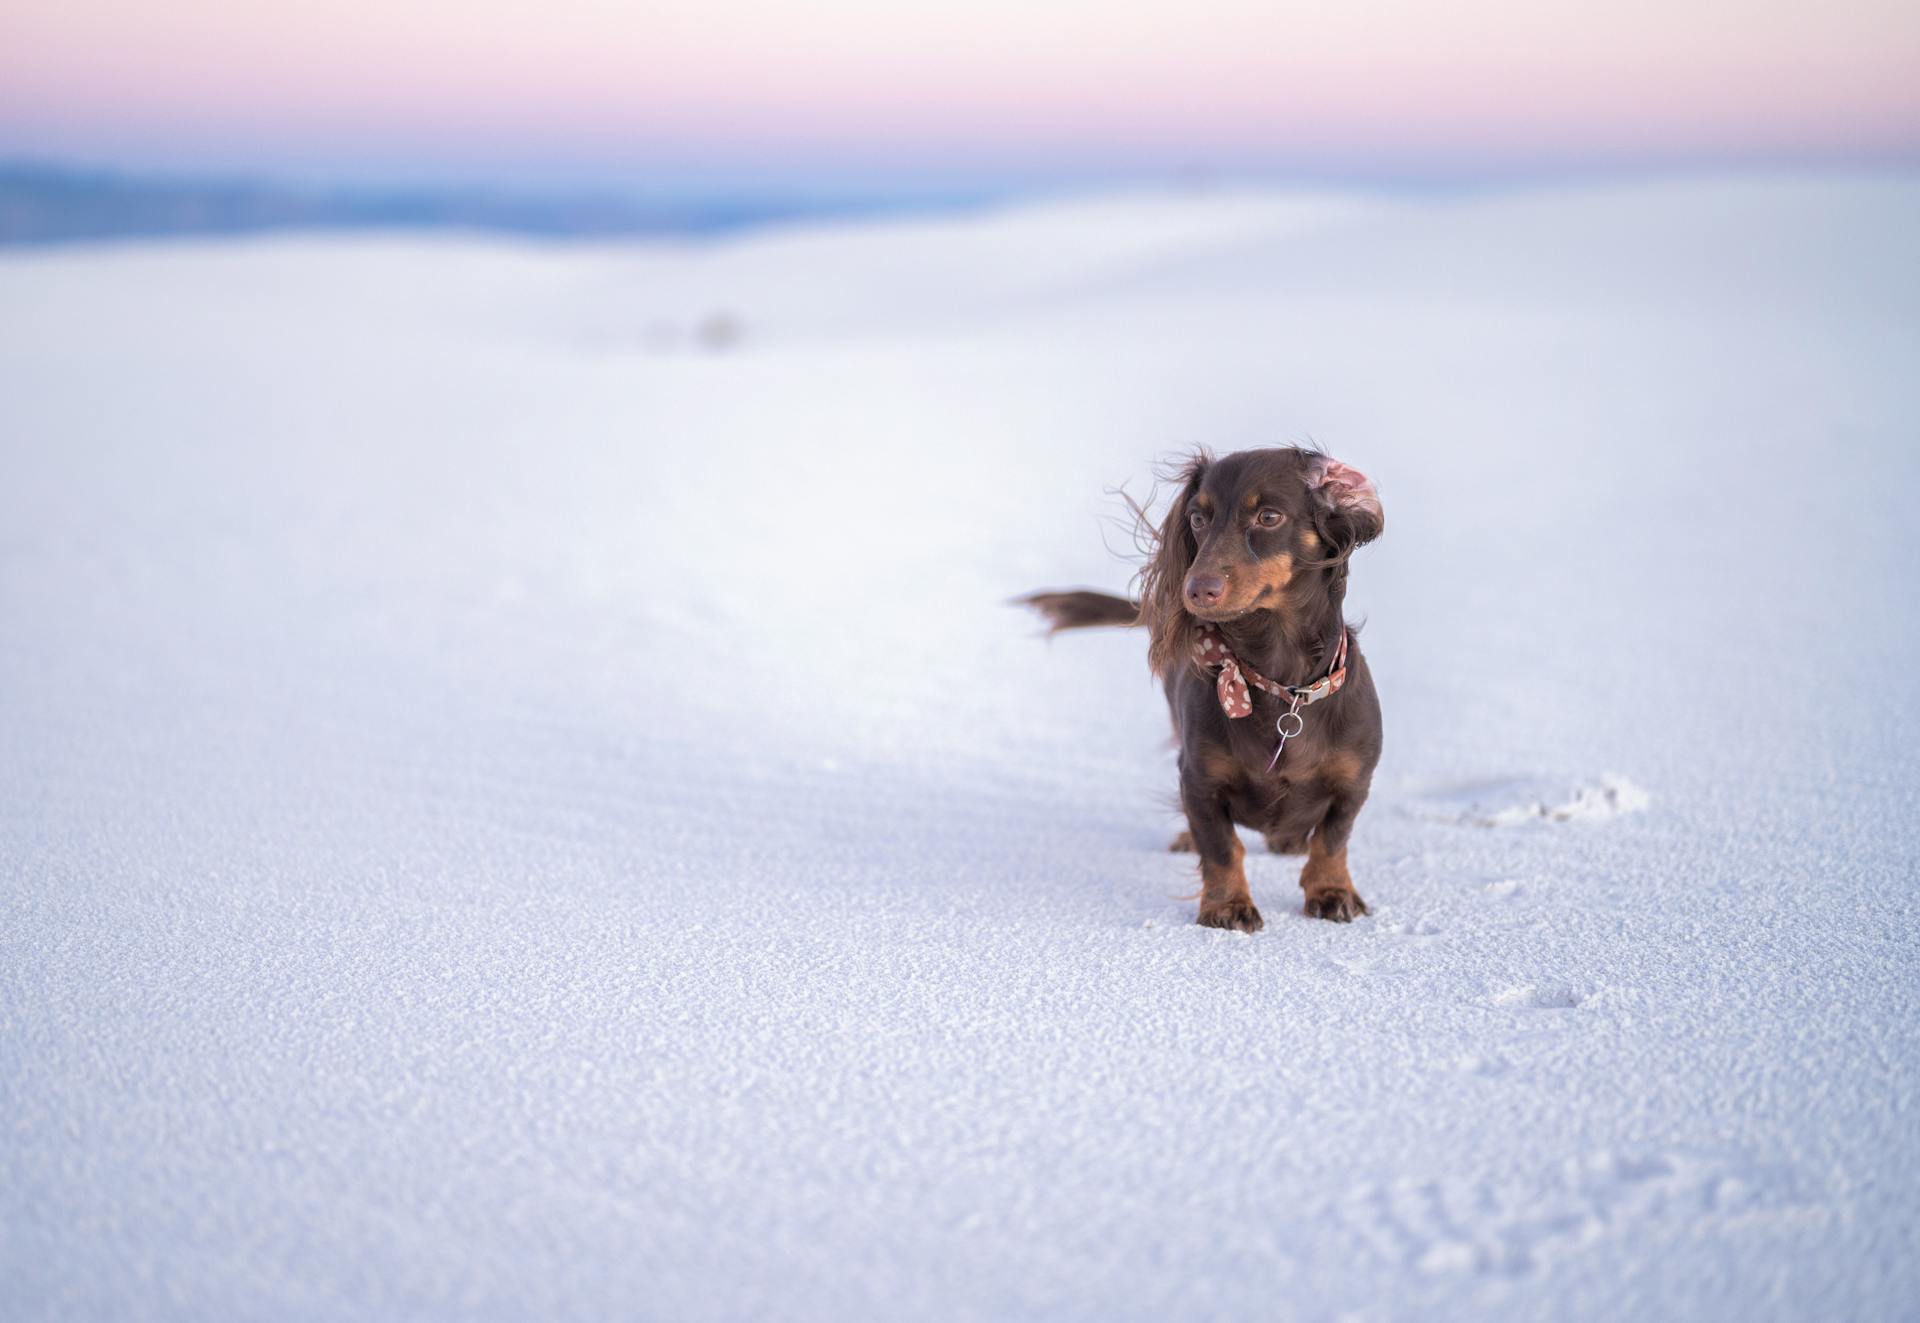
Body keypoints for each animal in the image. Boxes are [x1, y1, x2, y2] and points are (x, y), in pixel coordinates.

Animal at [1021, 443, 1382, 929]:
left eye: (1269, 517)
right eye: (1197, 518)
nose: (1196, 590)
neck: (1280, 688)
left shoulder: (1355, 781)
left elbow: (1333, 838)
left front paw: (1332, 891)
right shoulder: (1198, 779)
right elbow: (1221, 846)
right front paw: (1227, 905)